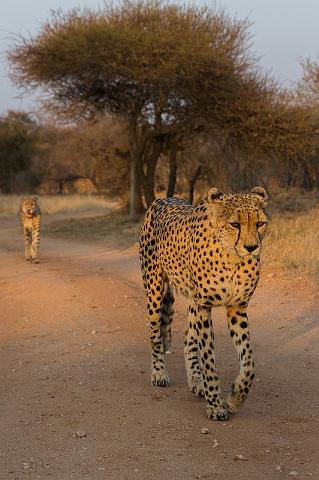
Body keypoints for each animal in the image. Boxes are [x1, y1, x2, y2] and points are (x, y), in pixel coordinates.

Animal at [141, 187, 270, 420]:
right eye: (234, 224)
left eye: (260, 223)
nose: (251, 247)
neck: (232, 257)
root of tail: (162, 199)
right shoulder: (205, 306)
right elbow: (209, 359)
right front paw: (215, 405)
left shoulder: (236, 307)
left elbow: (249, 363)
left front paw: (235, 399)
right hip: (155, 290)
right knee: (155, 335)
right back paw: (159, 373)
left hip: (193, 301)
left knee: (188, 340)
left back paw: (196, 382)